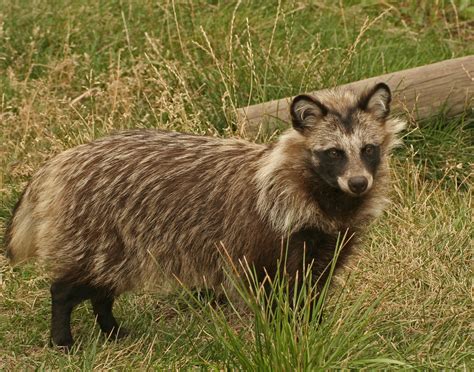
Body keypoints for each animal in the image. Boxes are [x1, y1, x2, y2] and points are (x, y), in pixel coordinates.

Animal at [4, 82, 404, 348]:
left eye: (368, 149)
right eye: (334, 152)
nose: (358, 183)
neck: (326, 199)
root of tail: (61, 160)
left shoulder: (327, 240)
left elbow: (314, 286)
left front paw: (313, 326)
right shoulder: (263, 235)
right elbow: (267, 291)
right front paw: (279, 334)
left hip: (118, 237)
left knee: (105, 282)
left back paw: (111, 326)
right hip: (95, 225)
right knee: (74, 282)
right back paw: (62, 332)